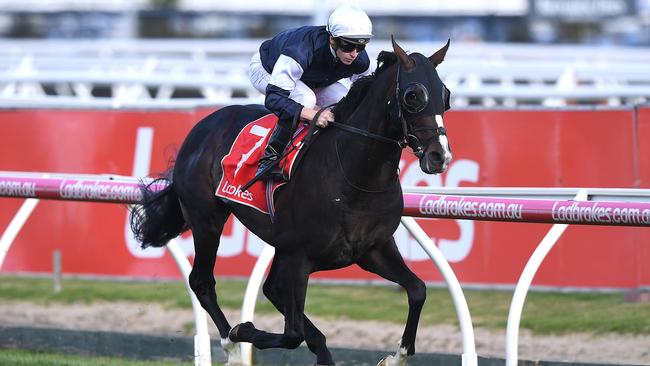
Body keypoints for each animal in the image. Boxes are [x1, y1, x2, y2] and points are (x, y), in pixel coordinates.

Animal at [128, 38, 450, 366]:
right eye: (413, 96)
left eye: (445, 95)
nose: (439, 156)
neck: (354, 179)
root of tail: (202, 126)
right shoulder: (299, 256)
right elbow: (291, 334)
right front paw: (242, 330)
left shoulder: (373, 249)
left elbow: (418, 290)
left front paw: (396, 357)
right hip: (207, 220)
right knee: (203, 282)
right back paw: (232, 346)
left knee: (271, 290)